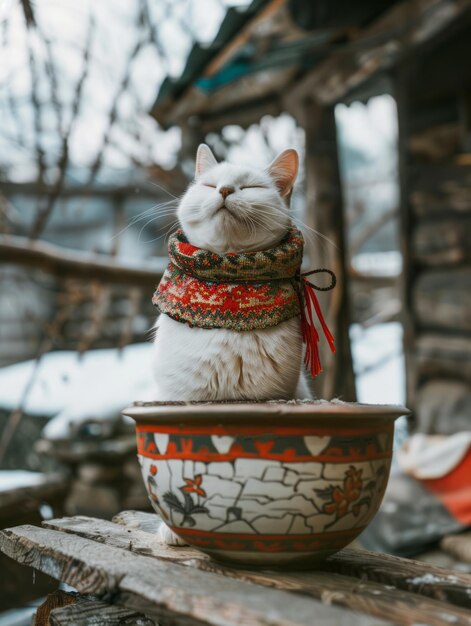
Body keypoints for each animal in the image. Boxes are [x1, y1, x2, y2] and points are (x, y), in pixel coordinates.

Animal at [153, 143, 312, 540]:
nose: (224, 190)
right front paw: (175, 529)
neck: (226, 299)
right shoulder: (177, 398)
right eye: (211, 185)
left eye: (250, 187)